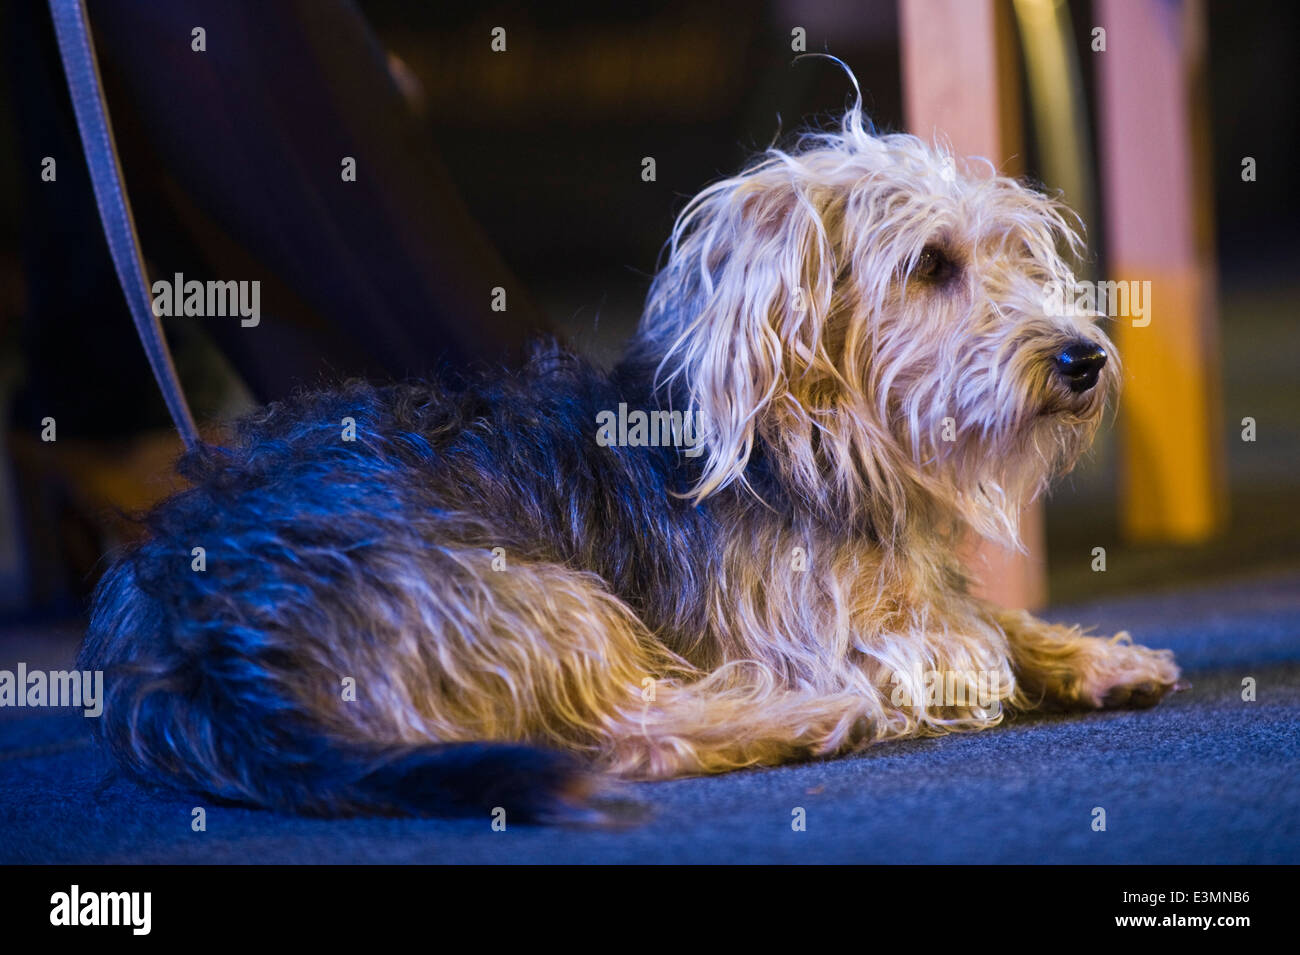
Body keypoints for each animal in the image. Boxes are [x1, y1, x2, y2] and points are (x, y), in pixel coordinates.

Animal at [76, 93, 1185, 821]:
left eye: (1019, 256)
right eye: (931, 265)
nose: (1084, 357)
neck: (813, 443)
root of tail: (194, 641)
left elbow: (992, 614)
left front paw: (1096, 656)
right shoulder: (850, 631)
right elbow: (967, 638)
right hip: (525, 591)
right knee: (622, 731)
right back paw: (798, 717)